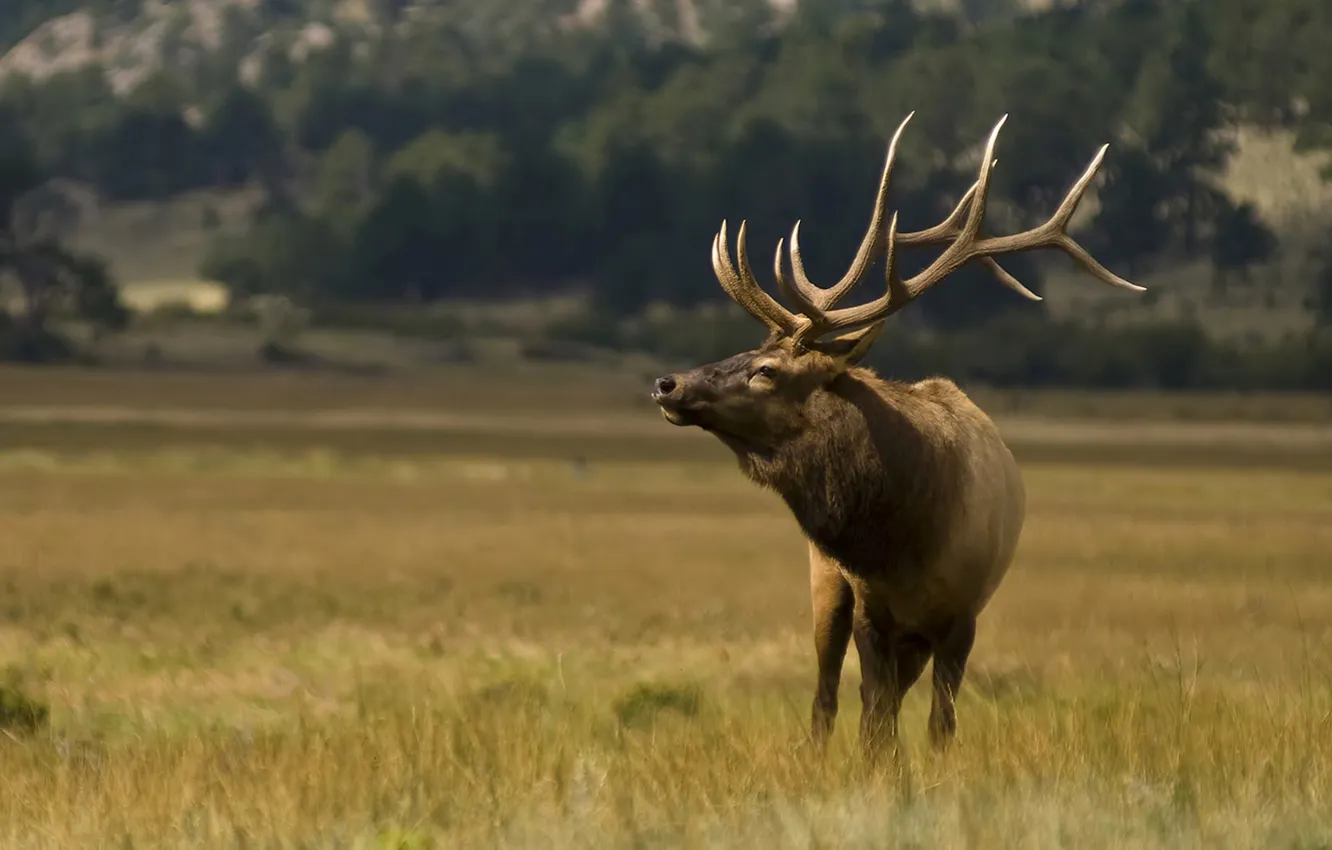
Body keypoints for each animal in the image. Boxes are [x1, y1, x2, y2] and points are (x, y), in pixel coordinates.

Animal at [650, 113, 1140, 756]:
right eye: (750, 352)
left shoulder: (963, 614)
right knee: (827, 697)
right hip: (826, 584)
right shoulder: (870, 606)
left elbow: (938, 725)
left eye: (767, 370)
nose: (667, 383)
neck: (904, 538)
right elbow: (873, 720)